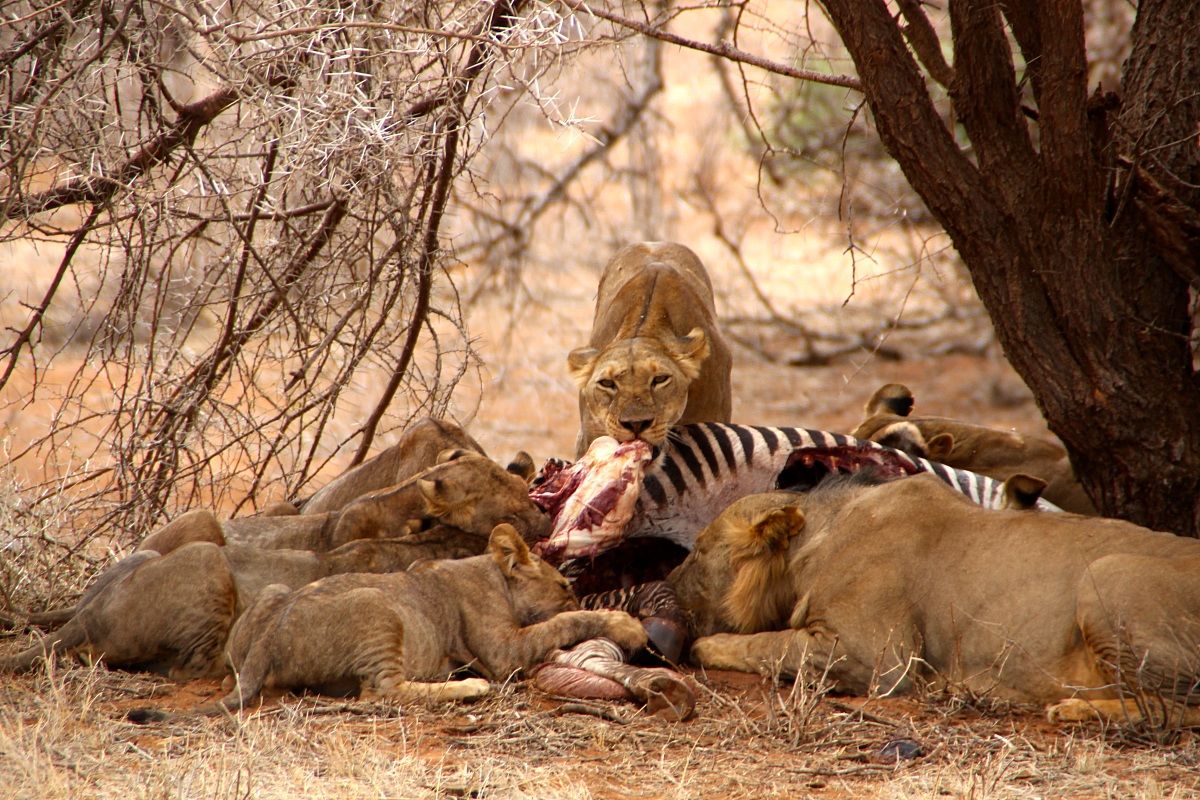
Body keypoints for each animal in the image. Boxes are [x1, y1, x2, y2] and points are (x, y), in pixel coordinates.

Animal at [129, 525, 647, 717]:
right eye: (563, 586)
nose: (572, 588)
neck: (491, 573)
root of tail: (267, 643)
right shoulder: (502, 650)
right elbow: (567, 622)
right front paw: (625, 624)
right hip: (376, 605)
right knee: (382, 692)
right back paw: (467, 687)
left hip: (271, 596)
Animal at [670, 473, 1200, 725]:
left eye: (696, 550)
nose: (667, 581)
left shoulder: (875, 656)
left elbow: (770, 644)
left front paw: (706, 646)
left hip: (1106, 574)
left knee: (1175, 709)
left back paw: (1075, 709)